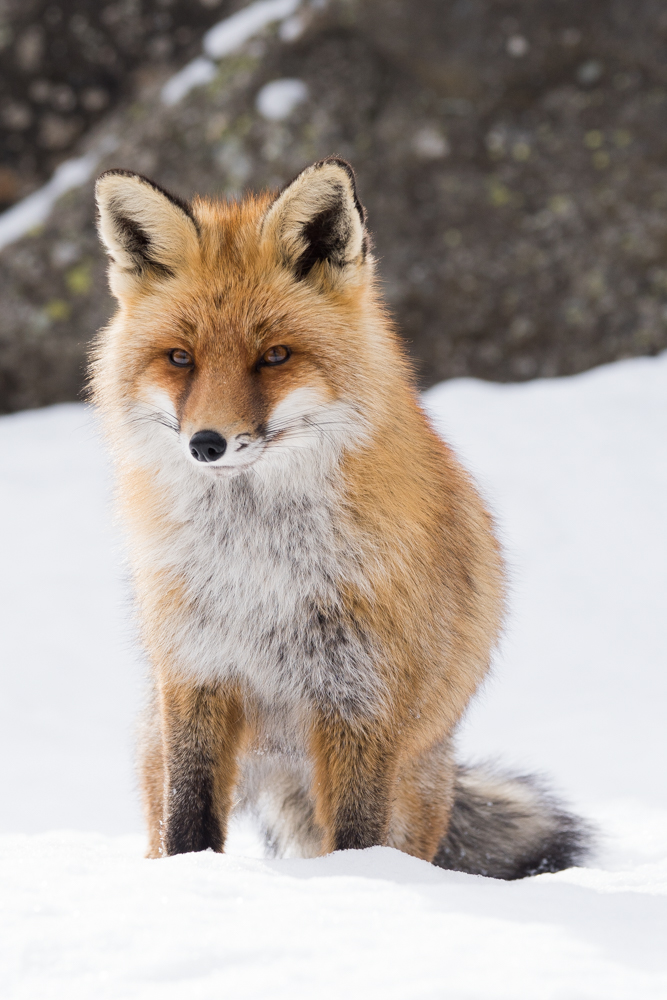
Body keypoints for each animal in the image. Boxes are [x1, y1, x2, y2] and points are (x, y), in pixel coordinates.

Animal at [91, 154, 592, 876]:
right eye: (180, 358)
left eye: (274, 356)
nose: (206, 444)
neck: (259, 573)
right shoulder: (196, 677)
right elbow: (188, 824)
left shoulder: (361, 702)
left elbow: (357, 840)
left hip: (412, 786)